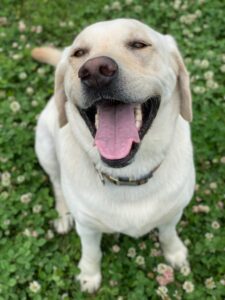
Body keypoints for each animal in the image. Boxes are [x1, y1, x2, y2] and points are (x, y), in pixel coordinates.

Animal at [32, 18, 195, 292]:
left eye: (139, 44)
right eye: (79, 53)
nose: (95, 71)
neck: (129, 176)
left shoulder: (174, 211)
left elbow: (167, 234)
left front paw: (175, 253)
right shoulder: (87, 227)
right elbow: (91, 252)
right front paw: (89, 275)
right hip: (45, 146)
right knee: (56, 183)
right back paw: (63, 215)